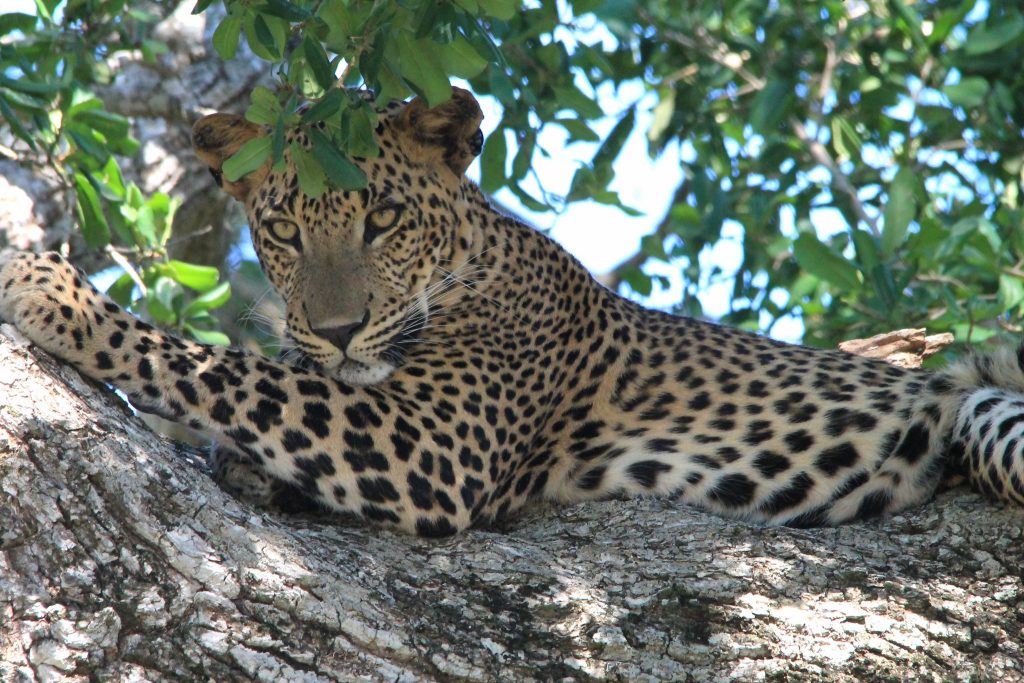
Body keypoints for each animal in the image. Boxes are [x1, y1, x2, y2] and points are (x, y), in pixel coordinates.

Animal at [2, 85, 1024, 536]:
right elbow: (266, 382)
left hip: (989, 409)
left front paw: (53, 290)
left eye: (383, 218)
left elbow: (221, 367)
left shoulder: (429, 446)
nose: (336, 331)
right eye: (284, 227)